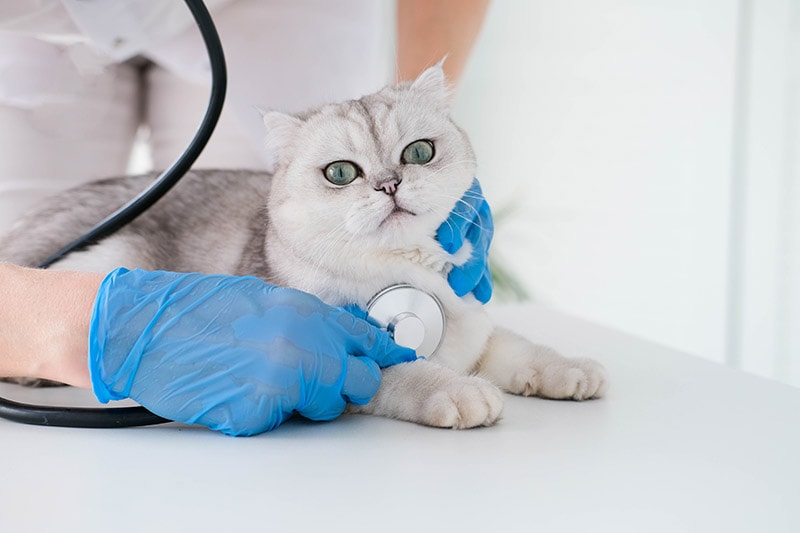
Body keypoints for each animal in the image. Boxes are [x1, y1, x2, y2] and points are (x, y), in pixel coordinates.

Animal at [0, 63, 608, 428]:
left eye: (418, 153)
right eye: (341, 172)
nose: (390, 184)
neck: (409, 277)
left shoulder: (477, 326)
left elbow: (519, 347)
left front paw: (570, 370)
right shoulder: (343, 356)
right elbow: (407, 372)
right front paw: (460, 393)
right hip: (113, 256)